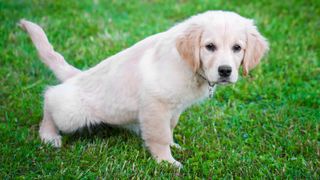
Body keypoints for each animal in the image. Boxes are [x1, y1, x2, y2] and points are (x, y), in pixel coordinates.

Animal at [20, 10, 268, 167]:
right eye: (209, 46)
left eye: (237, 48)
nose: (225, 71)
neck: (189, 65)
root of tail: (77, 76)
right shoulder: (155, 103)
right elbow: (159, 135)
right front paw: (167, 162)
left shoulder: (174, 108)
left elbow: (169, 128)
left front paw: (174, 146)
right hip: (72, 113)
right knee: (51, 98)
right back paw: (49, 135)